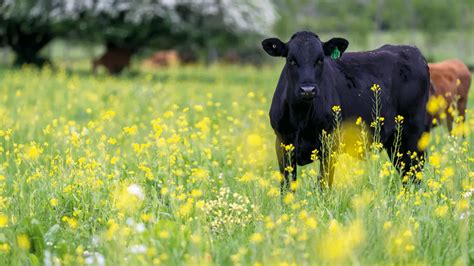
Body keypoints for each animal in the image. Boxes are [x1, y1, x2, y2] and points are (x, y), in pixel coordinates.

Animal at [262, 31, 430, 193]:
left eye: (320, 59)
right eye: (291, 60)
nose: (308, 90)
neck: (301, 119)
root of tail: (411, 50)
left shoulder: (330, 145)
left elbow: (323, 185)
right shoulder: (282, 143)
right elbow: (287, 187)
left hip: (414, 135)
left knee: (415, 174)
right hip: (395, 143)